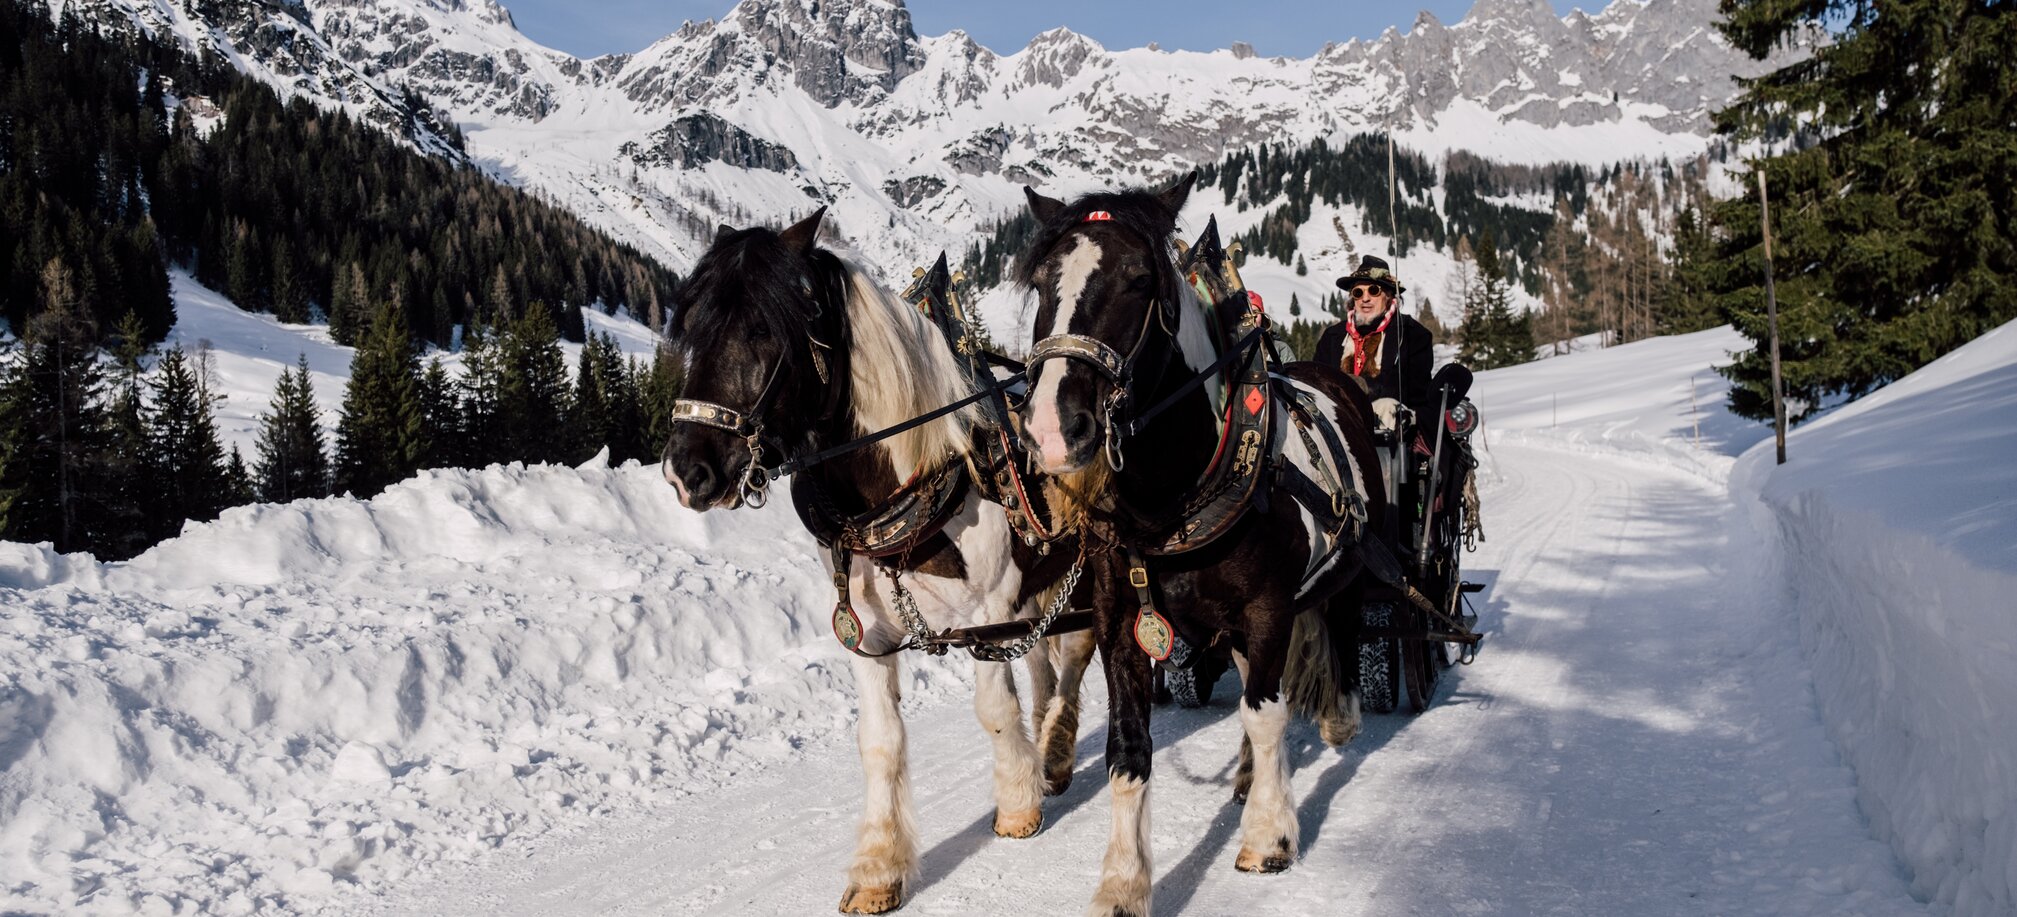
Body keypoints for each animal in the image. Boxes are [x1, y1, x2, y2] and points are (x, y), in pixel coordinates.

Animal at [1016, 176, 1395, 914]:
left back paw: (1336, 722)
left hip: (1345, 566)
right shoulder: (1123, 622)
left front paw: (1269, 837)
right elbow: (1130, 749)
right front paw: (1123, 881)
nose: (1050, 427)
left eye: (1138, 280)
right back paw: (1250, 776)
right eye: (1042, 282)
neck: (1173, 497)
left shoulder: (1269, 609)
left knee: (1325, 644)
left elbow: (1265, 711)